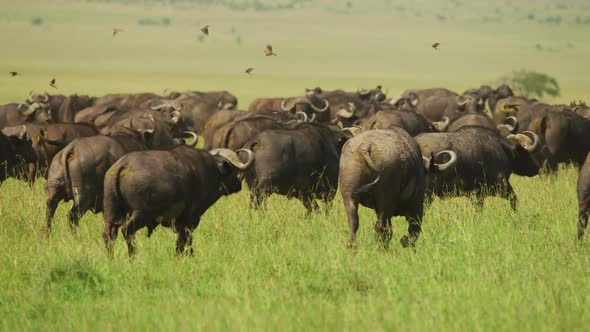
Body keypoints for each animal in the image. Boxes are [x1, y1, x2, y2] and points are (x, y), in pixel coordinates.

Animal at [103, 147, 254, 255]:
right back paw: (133, 256)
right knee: (127, 230)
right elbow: (185, 240)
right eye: (232, 169)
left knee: (108, 235)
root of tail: (123, 164)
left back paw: (111, 257)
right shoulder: (190, 219)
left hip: (112, 213)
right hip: (141, 214)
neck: (211, 171)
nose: (238, 184)